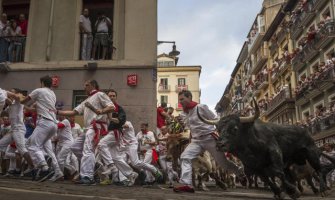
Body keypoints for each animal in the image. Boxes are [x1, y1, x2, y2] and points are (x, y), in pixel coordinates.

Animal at [198, 99, 326, 200]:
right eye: (219, 129)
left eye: (234, 128)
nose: (220, 144)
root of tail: (304, 130)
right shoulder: (254, 166)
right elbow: (266, 179)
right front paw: (280, 192)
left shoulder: (274, 153)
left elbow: (277, 172)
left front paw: (292, 191)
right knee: (292, 174)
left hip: (312, 153)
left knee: (318, 169)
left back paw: (322, 189)